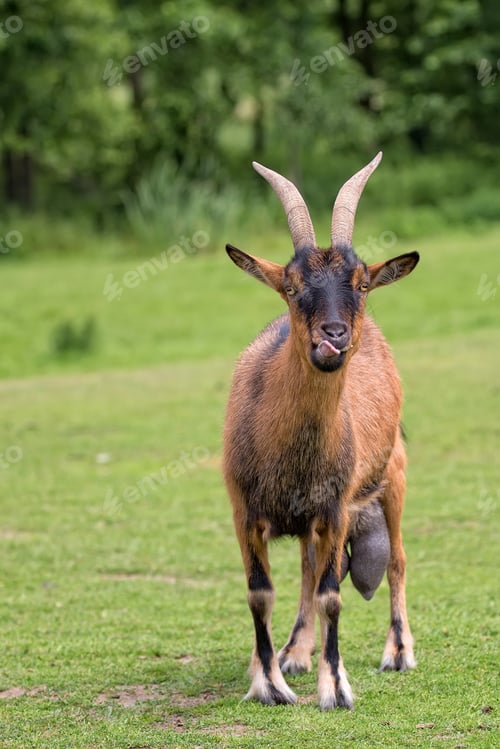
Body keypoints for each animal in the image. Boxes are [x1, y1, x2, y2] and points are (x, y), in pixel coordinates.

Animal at [223, 152, 418, 710]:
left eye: (361, 283)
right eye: (290, 285)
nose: (334, 337)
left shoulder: (334, 507)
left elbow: (332, 594)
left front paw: (336, 687)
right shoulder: (244, 508)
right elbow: (260, 592)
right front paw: (269, 680)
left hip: (392, 477)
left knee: (396, 560)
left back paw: (398, 651)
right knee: (308, 571)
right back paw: (294, 651)